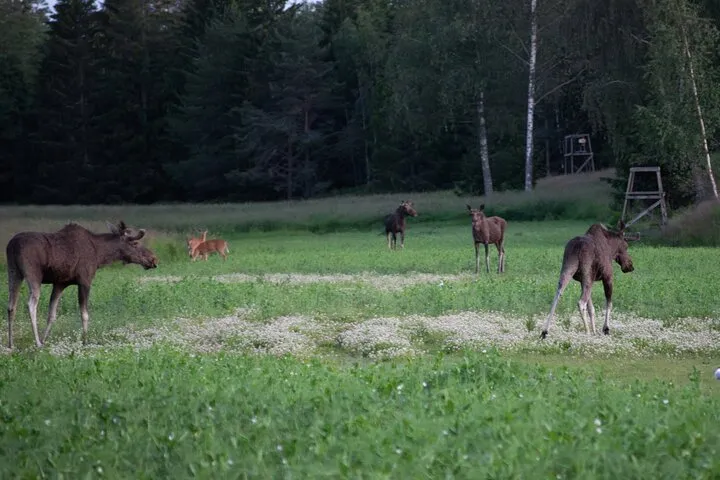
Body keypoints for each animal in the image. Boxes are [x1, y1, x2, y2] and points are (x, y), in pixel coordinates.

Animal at [5, 221, 158, 349]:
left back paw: (11, 344)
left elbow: (52, 315)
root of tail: (12, 246)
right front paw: (85, 340)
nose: (153, 259)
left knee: (11, 306)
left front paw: (45, 340)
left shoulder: (60, 283)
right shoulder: (85, 280)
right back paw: (36, 343)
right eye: (135, 243)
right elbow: (84, 314)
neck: (100, 255)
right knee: (31, 304)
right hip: (33, 274)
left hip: (14, 272)